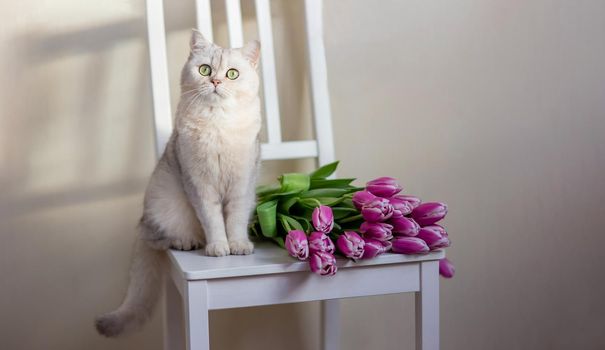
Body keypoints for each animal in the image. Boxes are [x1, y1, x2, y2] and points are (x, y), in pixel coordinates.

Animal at [95, 31, 260, 338]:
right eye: (205, 70)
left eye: (232, 74)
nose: (216, 82)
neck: (218, 124)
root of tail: (143, 222)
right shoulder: (199, 185)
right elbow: (214, 221)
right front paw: (218, 247)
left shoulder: (242, 185)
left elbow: (235, 220)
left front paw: (238, 245)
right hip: (163, 207)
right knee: (160, 239)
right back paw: (187, 241)